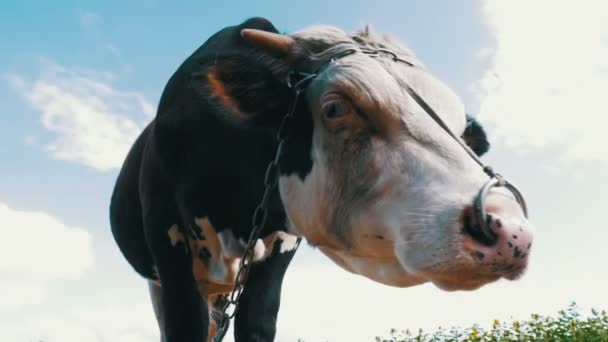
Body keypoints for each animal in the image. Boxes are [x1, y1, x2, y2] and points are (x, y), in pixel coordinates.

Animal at [109, 16, 532, 342]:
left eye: (462, 132)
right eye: (334, 109)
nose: (511, 232)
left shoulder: (280, 248)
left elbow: (257, 325)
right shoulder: (167, 243)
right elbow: (185, 329)